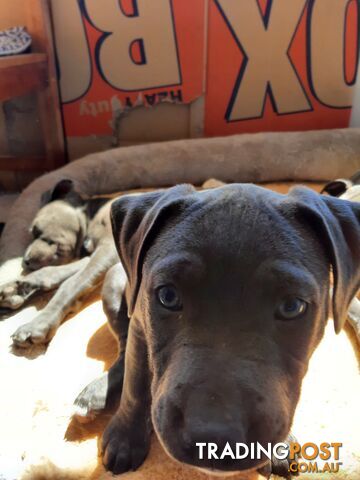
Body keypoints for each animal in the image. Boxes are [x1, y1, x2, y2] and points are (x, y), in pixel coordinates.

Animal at [89, 183, 358, 476]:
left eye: (292, 306)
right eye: (168, 296)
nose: (213, 437)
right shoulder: (140, 323)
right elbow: (135, 381)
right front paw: (126, 438)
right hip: (114, 287)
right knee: (123, 349)